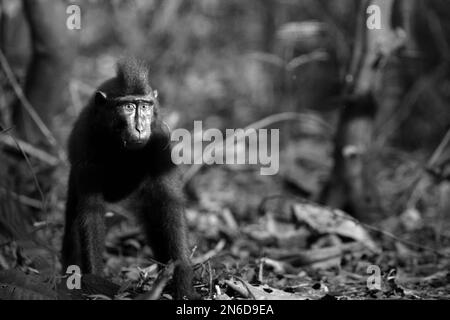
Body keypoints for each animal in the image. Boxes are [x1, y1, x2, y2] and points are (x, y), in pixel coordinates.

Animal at [61, 58, 197, 300]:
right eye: (128, 107)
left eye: (145, 106)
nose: (140, 127)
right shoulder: (86, 141)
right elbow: (90, 212)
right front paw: (95, 282)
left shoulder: (160, 138)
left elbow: (168, 201)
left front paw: (182, 278)